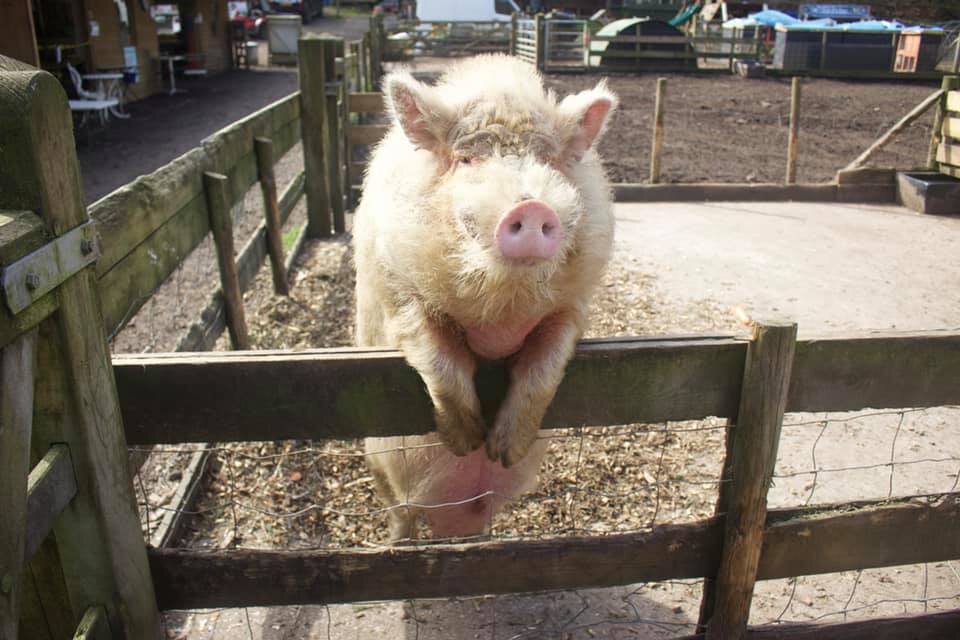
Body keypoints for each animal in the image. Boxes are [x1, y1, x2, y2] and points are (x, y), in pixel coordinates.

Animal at [353, 55, 617, 541]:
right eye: (467, 159)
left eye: (546, 160)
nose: (532, 207)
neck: (500, 309)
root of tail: (452, 517)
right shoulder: (395, 290)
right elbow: (434, 347)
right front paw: (466, 439)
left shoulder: (574, 304)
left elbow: (547, 362)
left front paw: (503, 449)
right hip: (378, 464)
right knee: (400, 513)